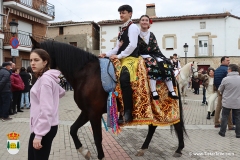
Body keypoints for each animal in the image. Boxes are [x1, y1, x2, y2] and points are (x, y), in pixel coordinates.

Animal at [30, 38, 188, 159]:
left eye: (35, 59)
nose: (33, 81)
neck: (85, 74)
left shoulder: (93, 113)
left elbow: (97, 138)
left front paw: (100, 156)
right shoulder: (86, 112)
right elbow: (73, 129)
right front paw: (84, 151)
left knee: (177, 124)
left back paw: (179, 149)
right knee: (153, 127)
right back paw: (144, 148)